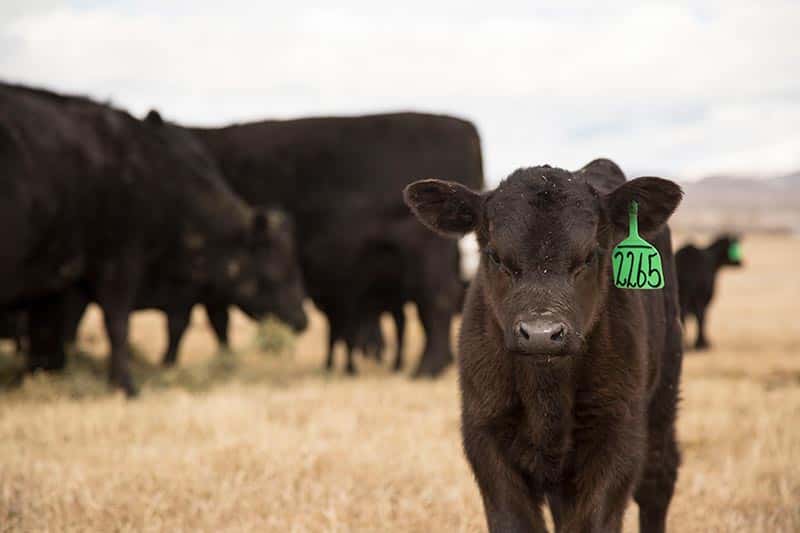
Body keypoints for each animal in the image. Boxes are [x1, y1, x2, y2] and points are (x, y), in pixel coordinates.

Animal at [404, 159, 684, 532]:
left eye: (590, 256)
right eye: (495, 256)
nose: (540, 333)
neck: (546, 395)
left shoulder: (618, 434)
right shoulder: (484, 433)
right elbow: (515, 521)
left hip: (663, 395)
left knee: (658, 480)